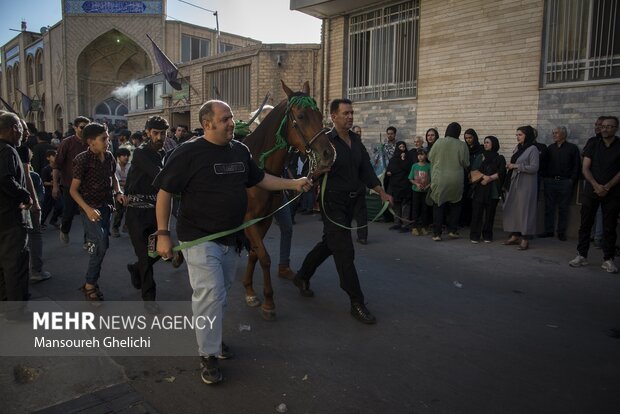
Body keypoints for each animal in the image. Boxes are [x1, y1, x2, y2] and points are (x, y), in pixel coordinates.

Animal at [241, 81, 334, 320]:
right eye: (300, 116)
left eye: (319, 114)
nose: (328, 153)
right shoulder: (248, 220)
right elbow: (264, 257)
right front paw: (268, 302)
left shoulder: (264, 219)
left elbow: (255, 254)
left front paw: (250, 291)